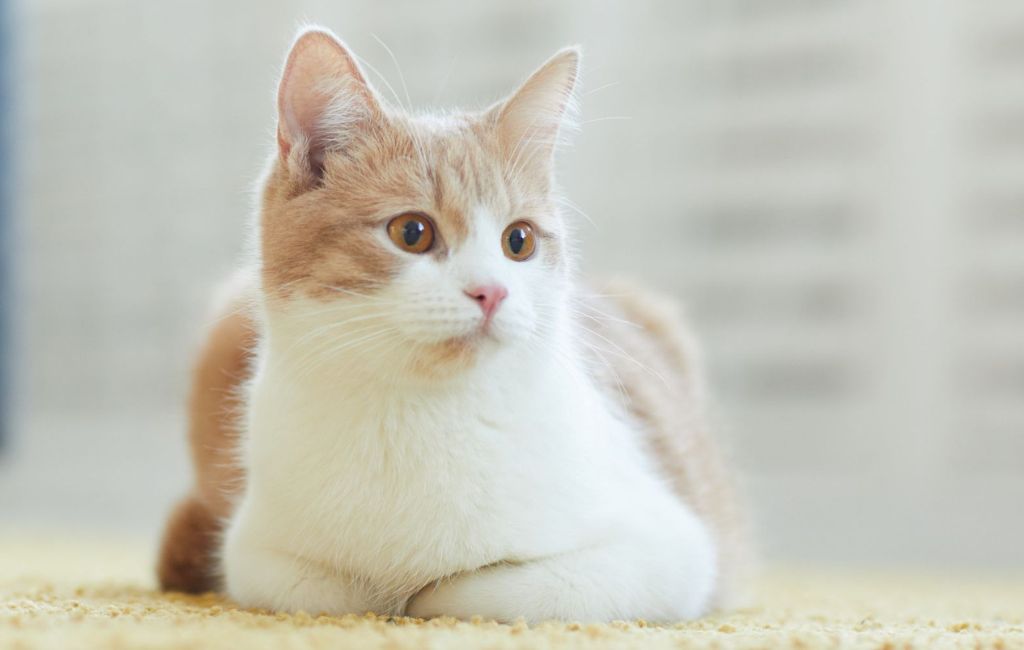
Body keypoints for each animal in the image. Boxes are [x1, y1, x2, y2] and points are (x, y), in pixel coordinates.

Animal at [155, 26, 749, 626]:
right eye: (412, 232)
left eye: (519, 241)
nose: (491, 292)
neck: (419, 413)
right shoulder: (256, 555)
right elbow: (331, 588)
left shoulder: (672, 551)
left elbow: (477, 590)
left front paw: (428, 590)